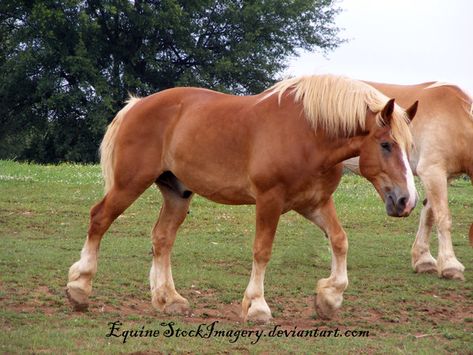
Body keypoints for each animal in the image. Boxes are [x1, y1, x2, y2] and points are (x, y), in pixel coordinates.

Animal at [66, 75, 416, 322]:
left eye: (409, 146)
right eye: (386, 144)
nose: (406, 201)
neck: (309, 135)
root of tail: (136, 105)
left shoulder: (314, 203)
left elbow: (340, 240)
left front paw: (329, 298)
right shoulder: (269, 201)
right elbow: (262, 251)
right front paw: (257, 307)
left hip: (177, 193)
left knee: (162, 238)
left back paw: (169, 299)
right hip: (130, 183)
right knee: (99, 218)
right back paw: (79, 289)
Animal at [342, 80, 472, 280]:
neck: (456, 117)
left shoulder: (444, 176)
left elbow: (429, 214)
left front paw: (423, 260)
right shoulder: (432, 171)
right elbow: (443, 217)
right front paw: (450, 265)